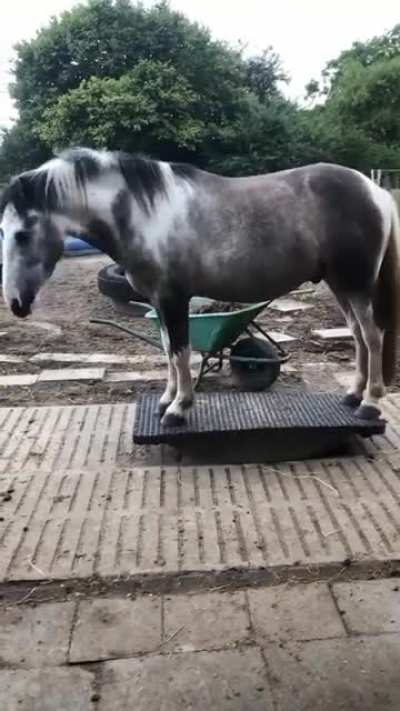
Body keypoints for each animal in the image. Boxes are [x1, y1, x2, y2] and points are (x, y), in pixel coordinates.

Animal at [1, 147, 399, 426]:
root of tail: (375, 190)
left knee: (372, 336)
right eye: (3, 232)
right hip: (341, 285)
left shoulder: (173, 298)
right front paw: (166, 399)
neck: (144, 214)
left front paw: (179, 409)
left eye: (21, 234)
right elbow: (166, 349)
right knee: (358, 336)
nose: (16, 303)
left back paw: (369, 403)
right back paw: (352, 394)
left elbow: (180, 352)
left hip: (357, 286)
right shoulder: (158, 302)